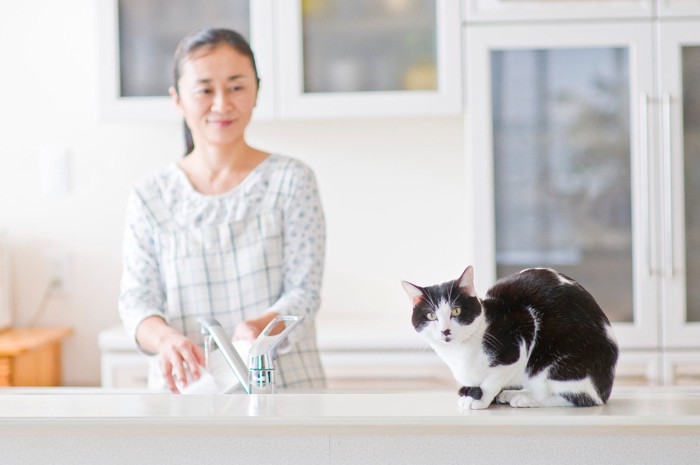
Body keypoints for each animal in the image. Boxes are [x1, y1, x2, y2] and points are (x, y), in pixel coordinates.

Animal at [402, 266, 620, 408]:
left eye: (456, 311)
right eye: (431, 316)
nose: (445, 331)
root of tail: (605, 390)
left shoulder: (521, 334)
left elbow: (491, 381)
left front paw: (479, 400)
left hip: (560, 363)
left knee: (581, 398)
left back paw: (528, 399)